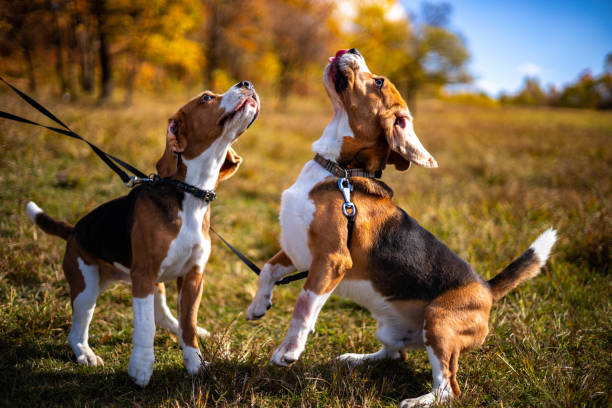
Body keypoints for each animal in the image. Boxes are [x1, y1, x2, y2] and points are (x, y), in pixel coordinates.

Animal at [25, 81, 258, 388]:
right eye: (207, 98)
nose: (246, 84)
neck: (190, 194)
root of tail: (74, 230)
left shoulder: (193, 276)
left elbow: (188, 325)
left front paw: (195, 363)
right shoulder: (144, 274)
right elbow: (145, 327)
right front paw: (141, 368)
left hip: (152, 283)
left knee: (166, 316)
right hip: (88, 287)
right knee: (77, 330)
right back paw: (86, 354)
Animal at [246, 49, 556, 406]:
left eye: (379, 81)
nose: (351, 50)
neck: (340, 170)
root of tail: (487, 289)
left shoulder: (331, 260)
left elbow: (304, 305)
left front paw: (289, 350)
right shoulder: (298, 252)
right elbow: (267, 270)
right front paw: (258, 306)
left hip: (438, 323)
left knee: (448, 387)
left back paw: (418, 401)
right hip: (391, 329)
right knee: (396, 355)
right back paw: (356, 359)